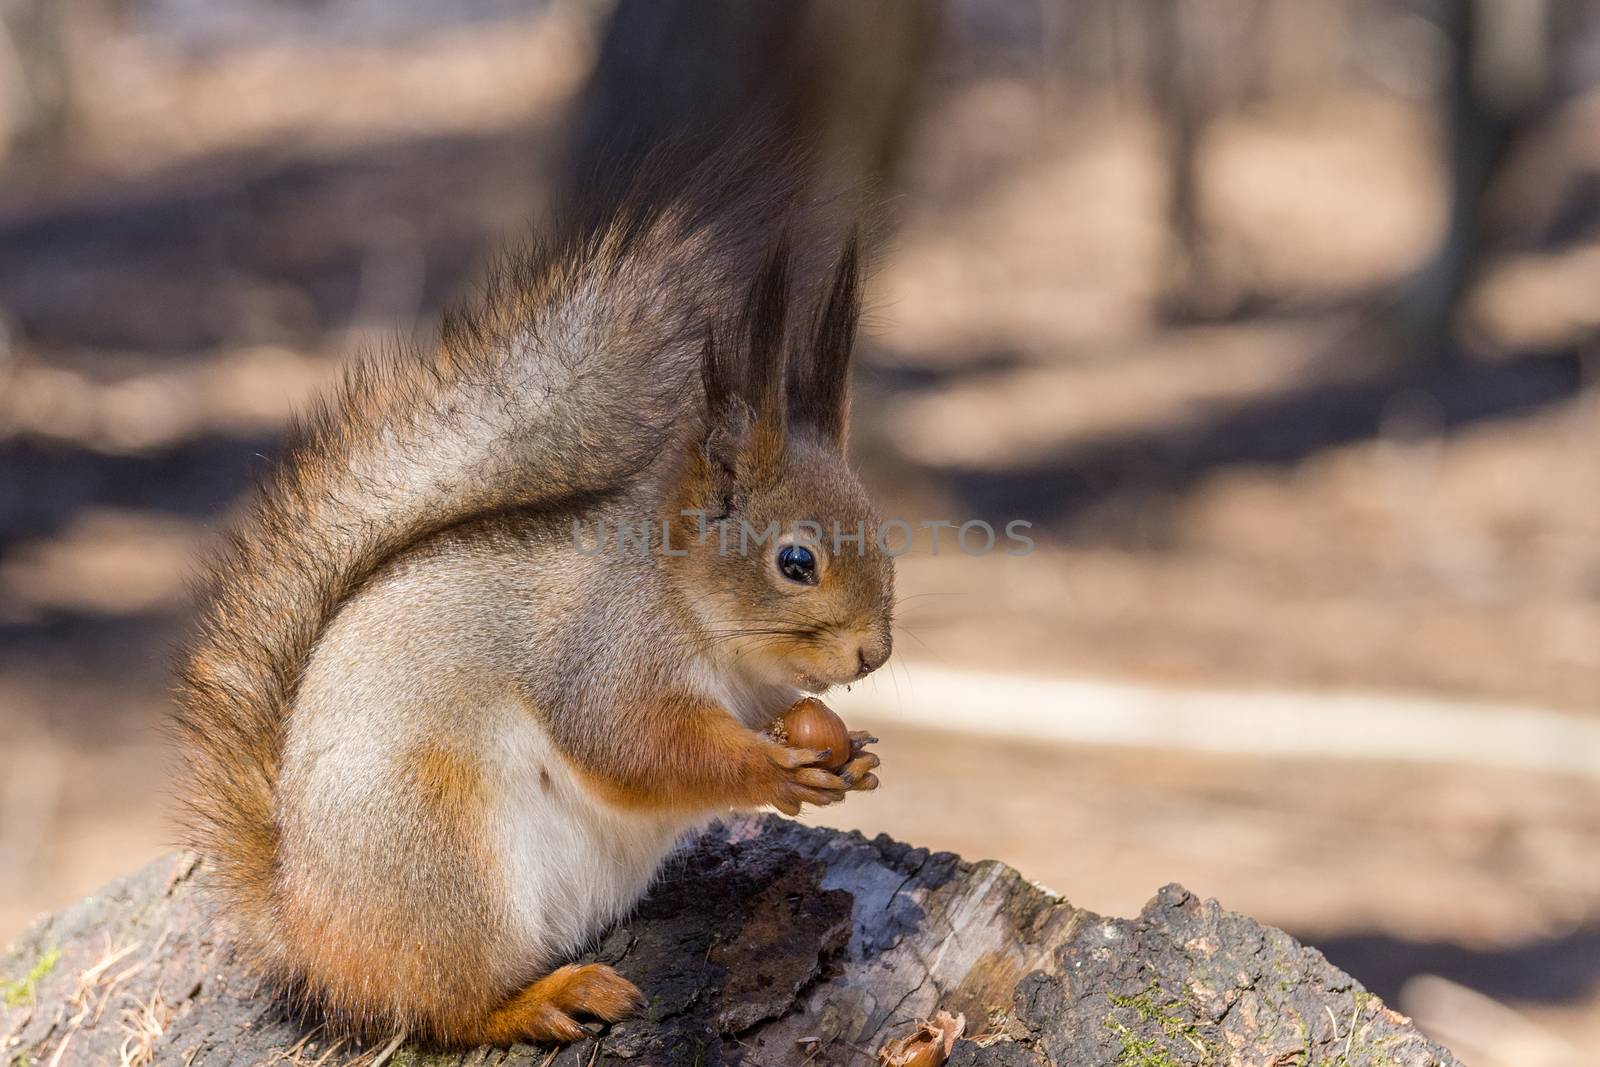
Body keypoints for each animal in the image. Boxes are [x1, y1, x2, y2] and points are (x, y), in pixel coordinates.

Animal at [175, 146, 902, 1049]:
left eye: (881, 529)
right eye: (795, 560)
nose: (876, 651)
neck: (703, 621)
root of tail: (306, 927)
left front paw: (854, 755)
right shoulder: (608, 650)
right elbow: (630, 741)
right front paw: (772, 765)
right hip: (440, 858)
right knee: (442, 1003)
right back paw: (545, 999)